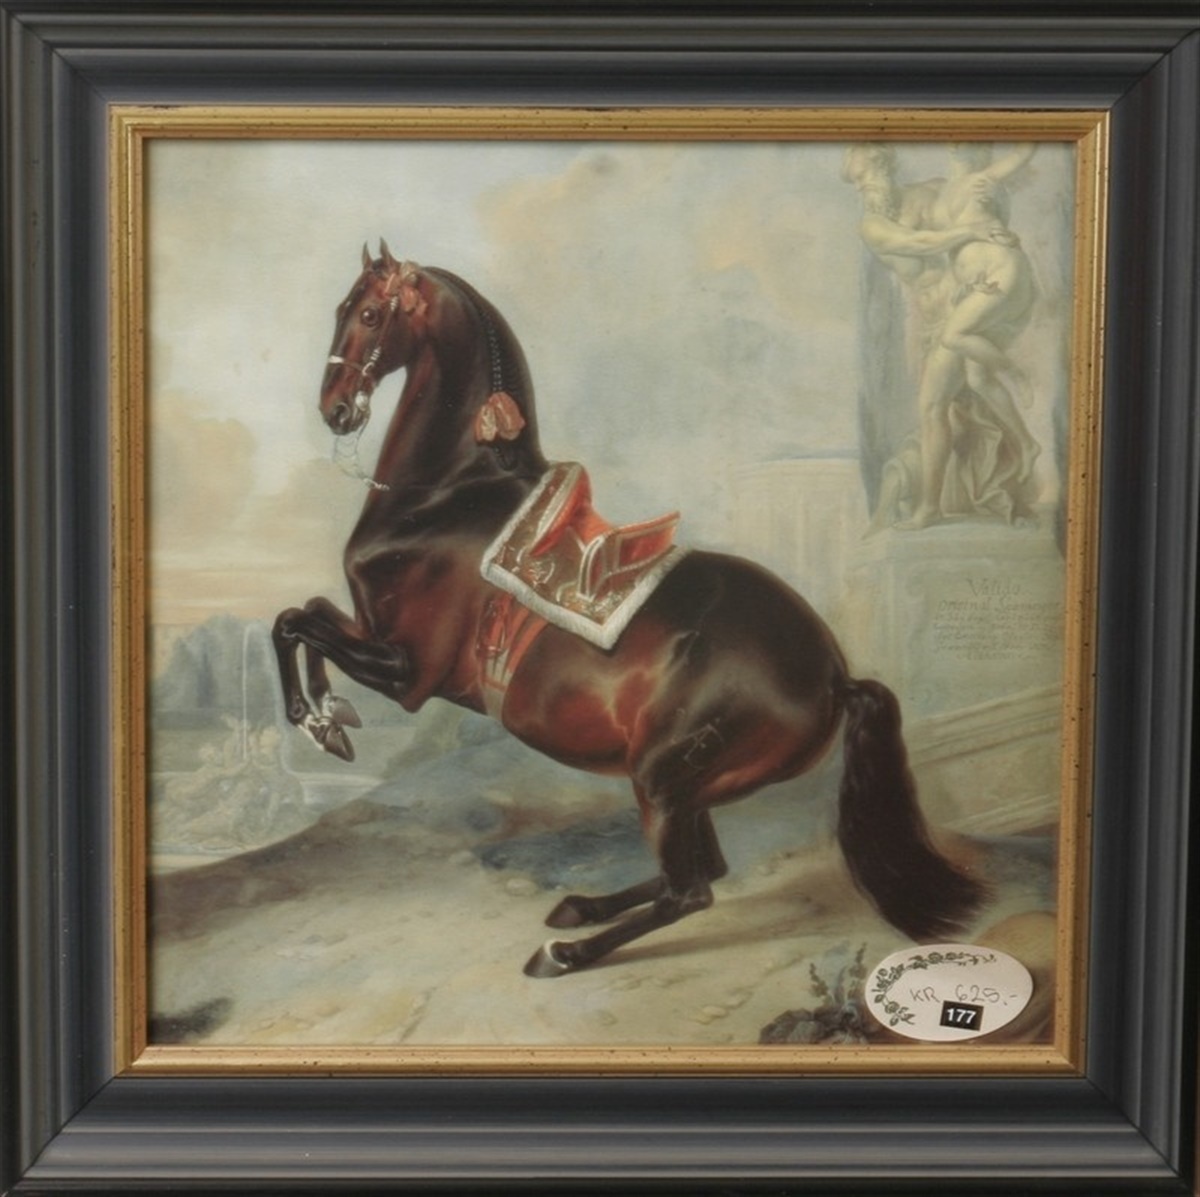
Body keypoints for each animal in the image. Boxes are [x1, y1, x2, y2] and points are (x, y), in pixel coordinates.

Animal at [272, 242, 985, 978]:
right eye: (343, 307)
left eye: (369, 313)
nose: (335, 408)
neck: (449, 495)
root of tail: (836, 674)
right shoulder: (373, 633)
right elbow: (306, 613)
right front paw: (330, 716)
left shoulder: (410, 673)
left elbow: (293, 622)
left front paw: (315, 720)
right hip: (685, 788)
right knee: (707, 871)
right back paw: (582, 907)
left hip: (663, 778)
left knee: (691, 889)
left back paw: (567, 949)